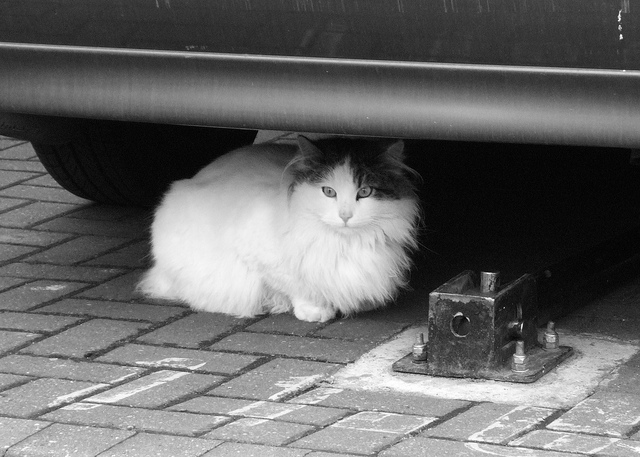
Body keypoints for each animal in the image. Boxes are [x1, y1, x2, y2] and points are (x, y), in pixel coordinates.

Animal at [138, 136, 420, 322]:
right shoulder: (262, 258)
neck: (343, 242)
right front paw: (315, 311)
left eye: (365, 192)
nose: (345, 215)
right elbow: (297, 287)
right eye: (329, 192)